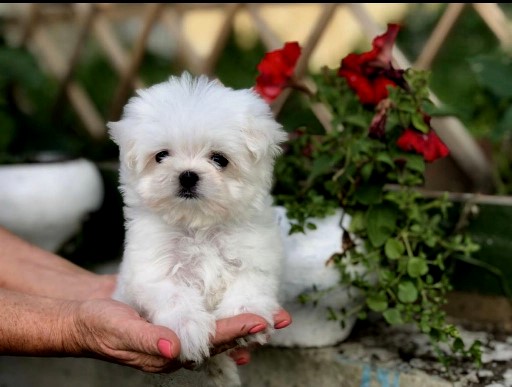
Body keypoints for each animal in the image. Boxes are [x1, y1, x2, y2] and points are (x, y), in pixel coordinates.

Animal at [108, 72, 288, 384]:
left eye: (219, 159)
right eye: (161, 156)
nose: (188, 176)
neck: (199, 226)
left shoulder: (255, 254)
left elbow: (249, 282)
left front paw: (243, 310)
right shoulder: (153, 268)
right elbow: (174, 294)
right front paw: (187, 326)